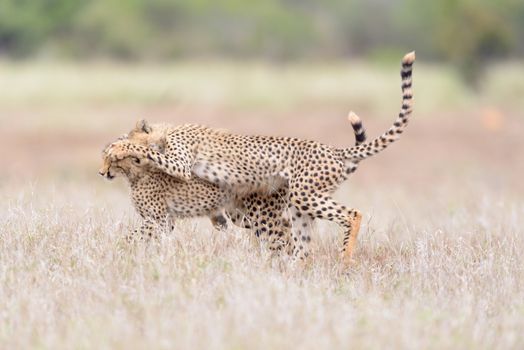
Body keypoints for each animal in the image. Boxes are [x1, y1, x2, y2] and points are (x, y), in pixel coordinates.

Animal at [108, 51, 416, 266]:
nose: (106, 170)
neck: (165, 131)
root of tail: (334, 150)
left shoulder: (181, 165)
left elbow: (148, 153)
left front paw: (122, 148)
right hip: (292, 205)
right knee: (298, 242)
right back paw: (293, 268)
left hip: (302, 196)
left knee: (350, 215)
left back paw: (344, 256)